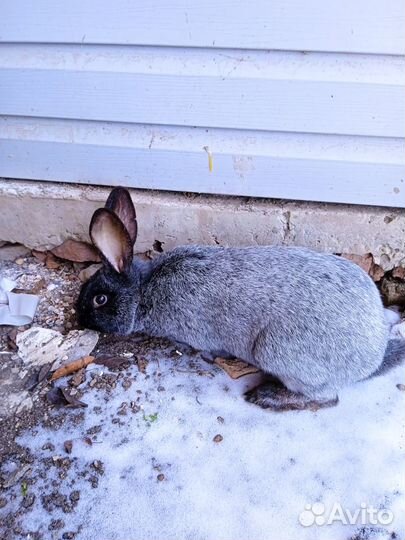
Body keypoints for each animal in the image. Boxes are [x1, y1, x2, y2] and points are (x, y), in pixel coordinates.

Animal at [76, 188, 400, 412]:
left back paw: (266, 397)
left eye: (100, 299)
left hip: (277, 352)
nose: (78, 319)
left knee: (325, 398)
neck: (144, 290)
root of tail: (374, 357)